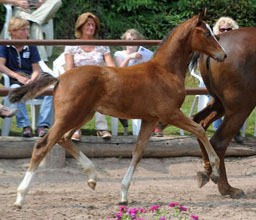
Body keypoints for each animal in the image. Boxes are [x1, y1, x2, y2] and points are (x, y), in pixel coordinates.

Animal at [190, 27, 256, 198]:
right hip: (240, 107)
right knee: (219, 142)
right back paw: (226, 187)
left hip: (219, 104)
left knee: (199, 123)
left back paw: (209, 170)